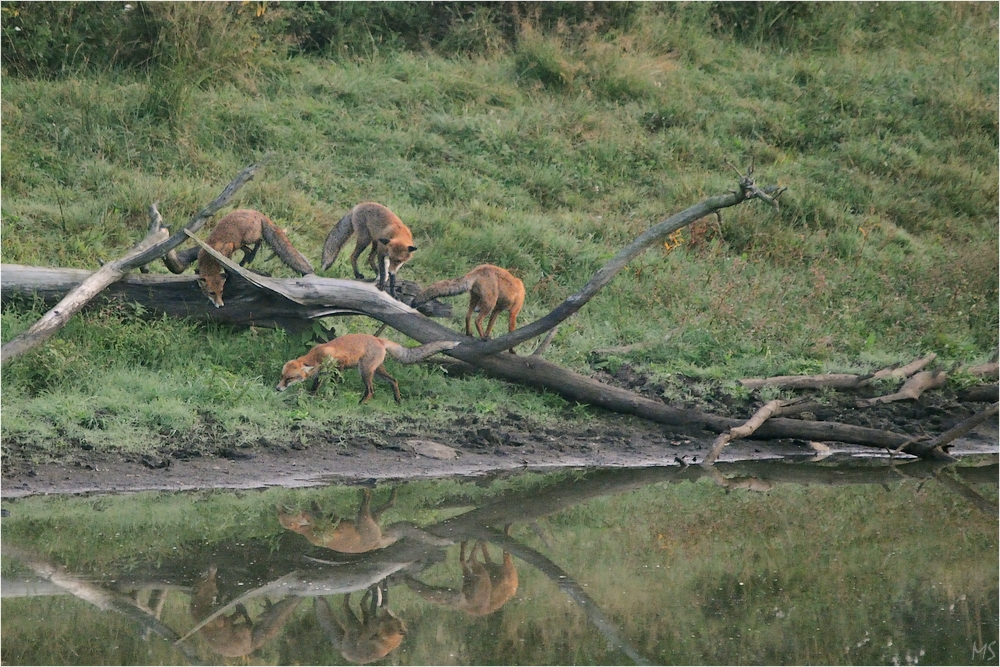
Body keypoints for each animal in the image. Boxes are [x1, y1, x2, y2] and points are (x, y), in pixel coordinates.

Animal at [184, 210, 314, 310]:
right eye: (212, 293)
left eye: (221, 291)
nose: (220, 305)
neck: (209, 260)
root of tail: (255, 211)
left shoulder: (227, 249)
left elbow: (226, 266)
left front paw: (228, 273)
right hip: (240, 243)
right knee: (248, 251)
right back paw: (242, 264)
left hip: (247, 238)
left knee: (259, 241)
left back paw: (247, 260)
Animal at [276, 332, 458, 402]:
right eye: (282, 376)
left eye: (290, 378)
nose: (277, 389)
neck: (317, 356)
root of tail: (378, 339)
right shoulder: (322, 374)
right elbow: (315, 386)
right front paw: (312, 396)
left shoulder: (340, 365)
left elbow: (333, 384)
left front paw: (330, 396)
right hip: (377, 371)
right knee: (394, 380)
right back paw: (398, 400)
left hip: (364, 371)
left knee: (371, 390)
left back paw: (360, 404)